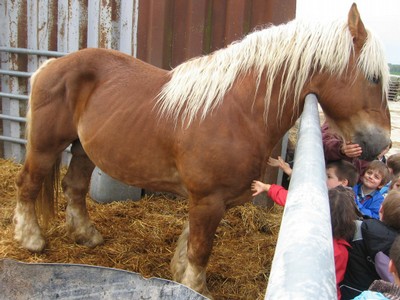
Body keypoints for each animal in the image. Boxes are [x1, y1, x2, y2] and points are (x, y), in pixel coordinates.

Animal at [14, 3, 390, 298]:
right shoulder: (208, 199)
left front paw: (180, 277)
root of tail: (50, 66)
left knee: (74, 188)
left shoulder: (210, 199)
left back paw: (87, 236)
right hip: (46, 146)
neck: (236, 111)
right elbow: (201, 249)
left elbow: (189, 242)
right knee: (27, 185)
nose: (382, 144)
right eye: (373, 78)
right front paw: (197, 287)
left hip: (83, 150)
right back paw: (30, 239)